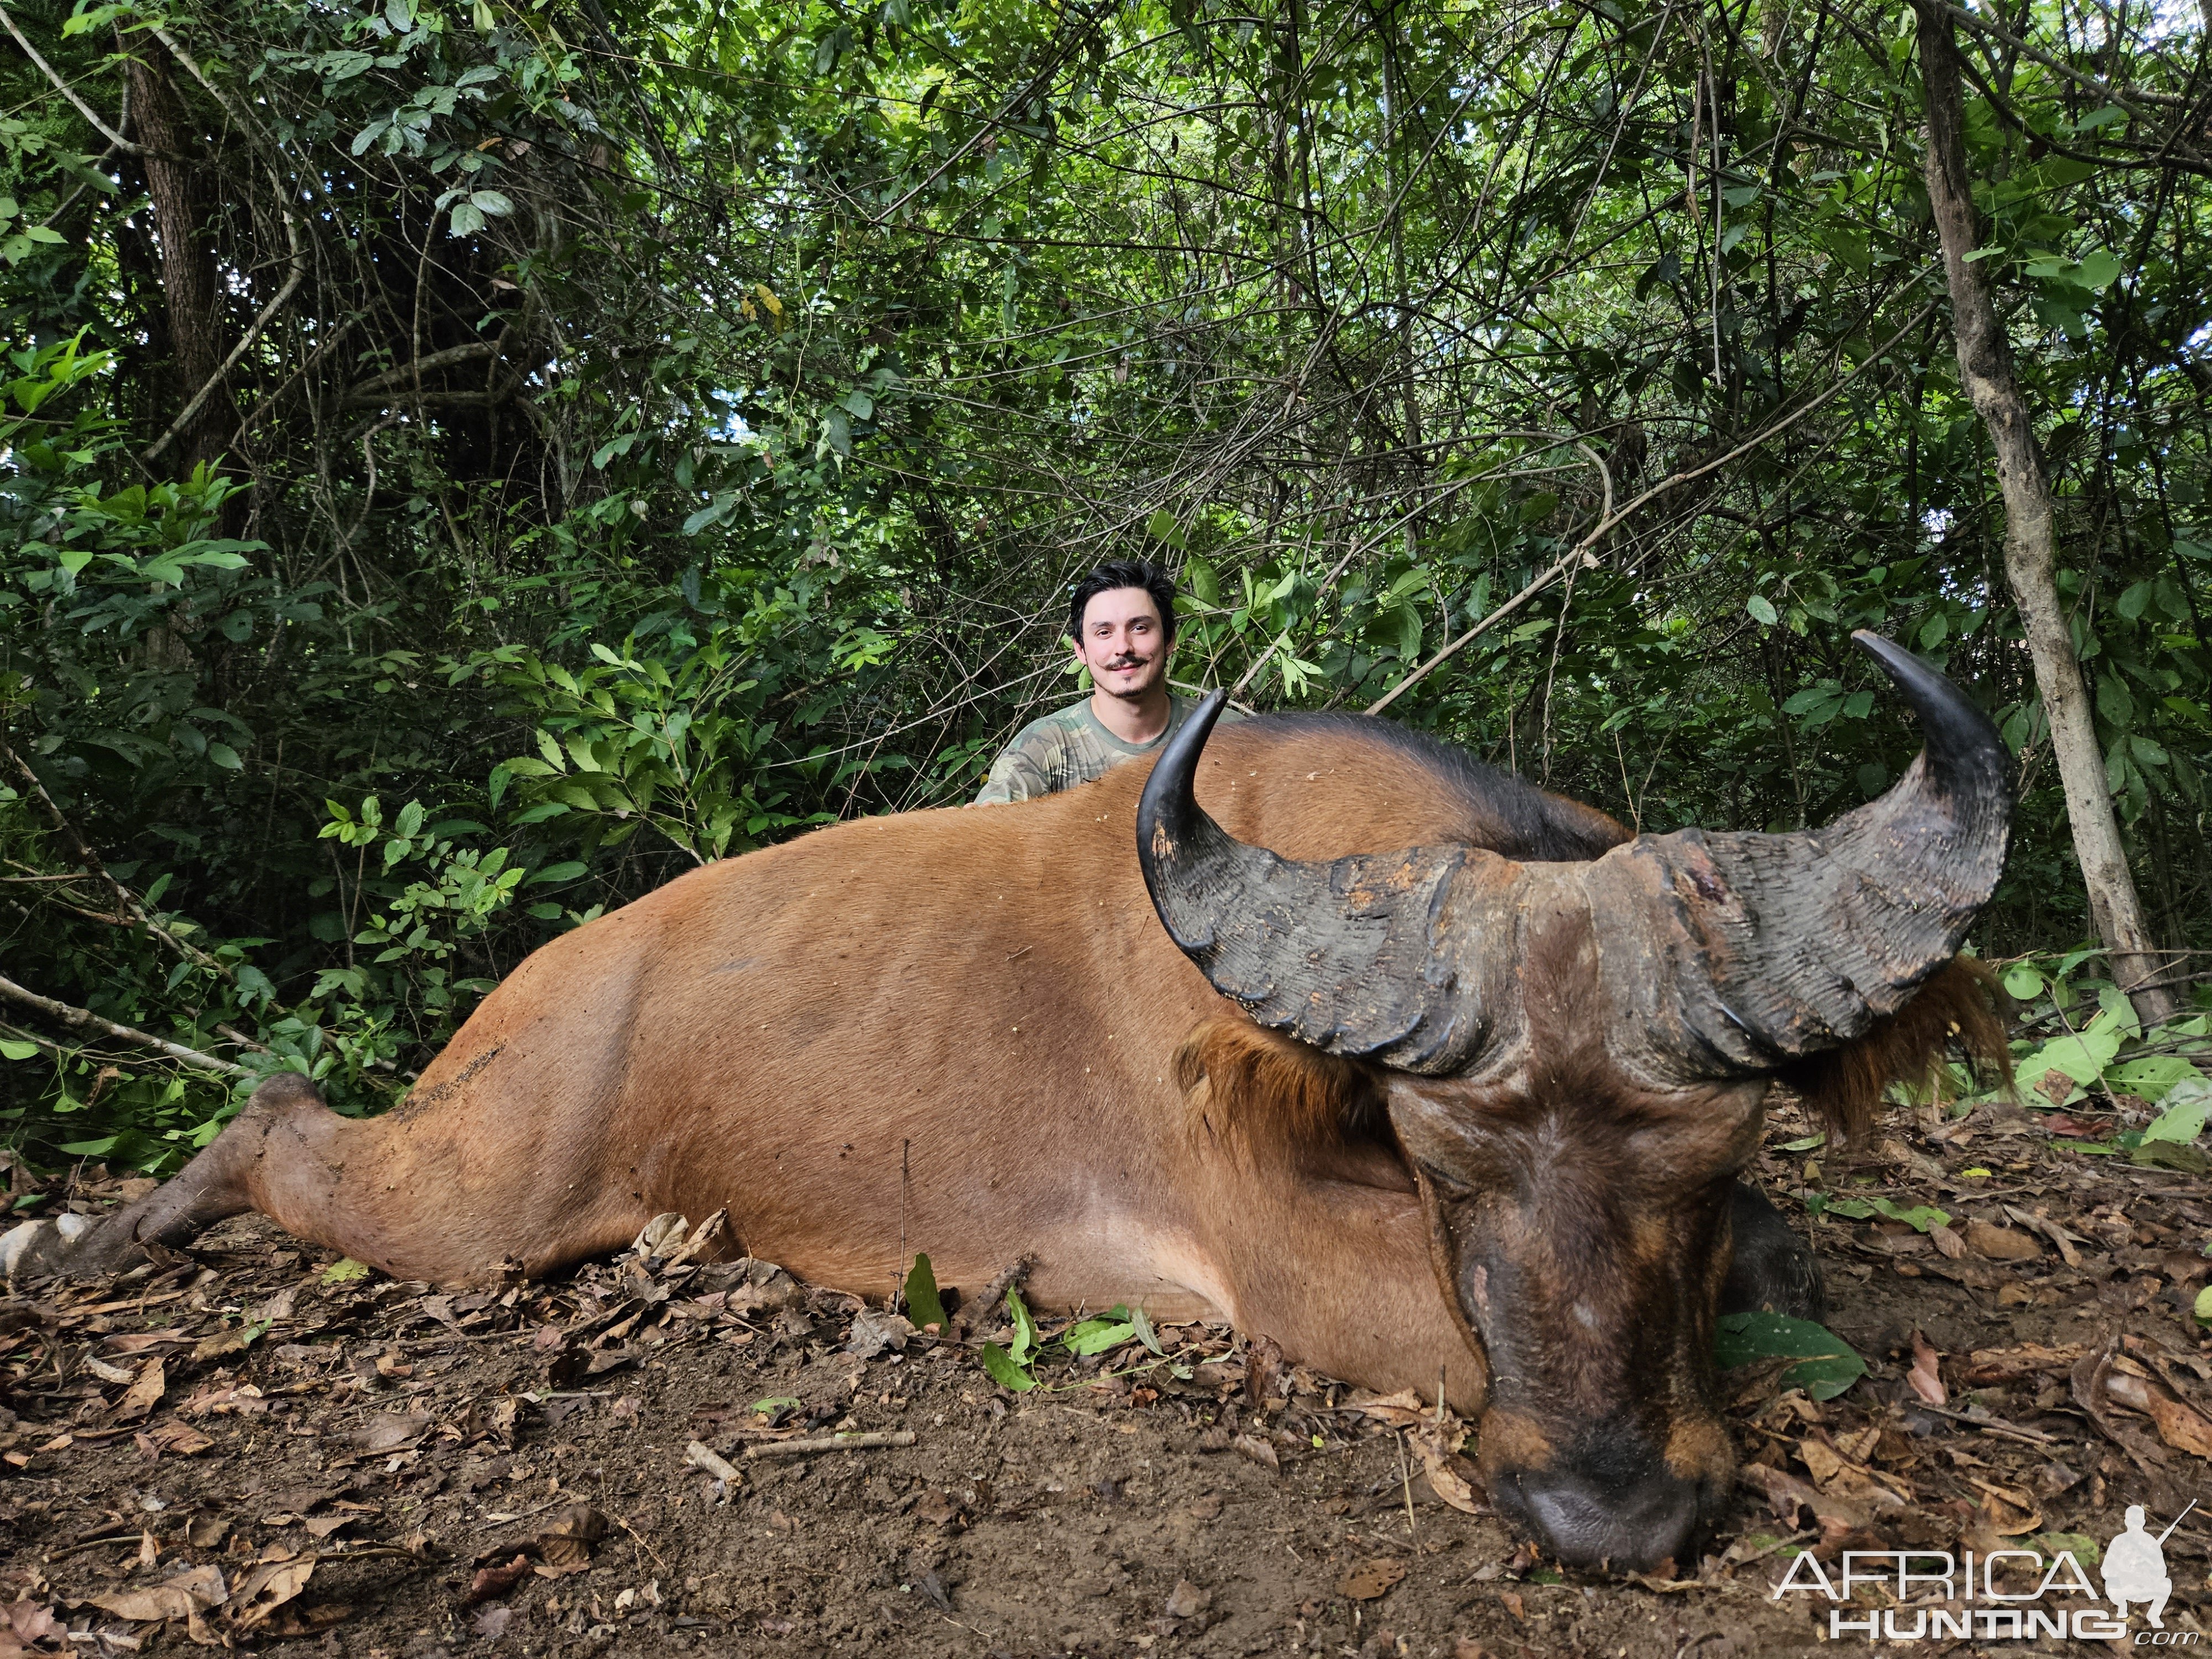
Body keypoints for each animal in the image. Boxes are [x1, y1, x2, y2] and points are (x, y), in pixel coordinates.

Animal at [0, 633, 2008, 1575]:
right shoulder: (1304, 1273)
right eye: (1448, 1157)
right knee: (281, 1120)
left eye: (1725, 1146)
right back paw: (89, 1234)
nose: (1608, 1515)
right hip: (476, 1203)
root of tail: (538, 995)